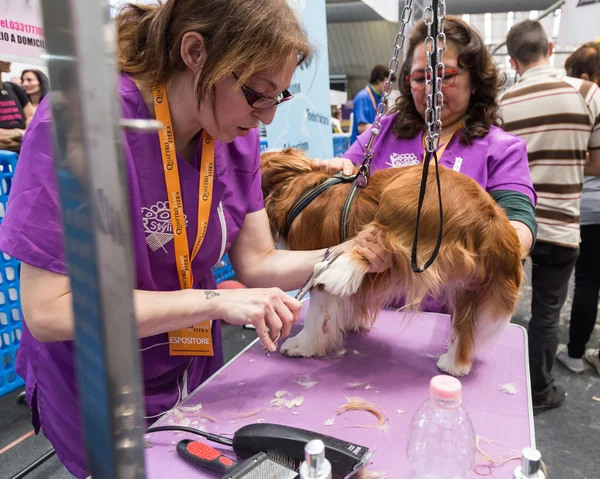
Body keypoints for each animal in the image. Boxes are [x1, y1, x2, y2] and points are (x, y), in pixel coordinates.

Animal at [260, 148, 524, 376]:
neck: (297, 187)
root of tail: (491, 216)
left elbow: (317, 314)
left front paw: (302, 345)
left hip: (408, 195)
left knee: (371, 241)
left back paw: (339, 269)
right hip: (464, 283)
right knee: (464, 324)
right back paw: (454, 364)